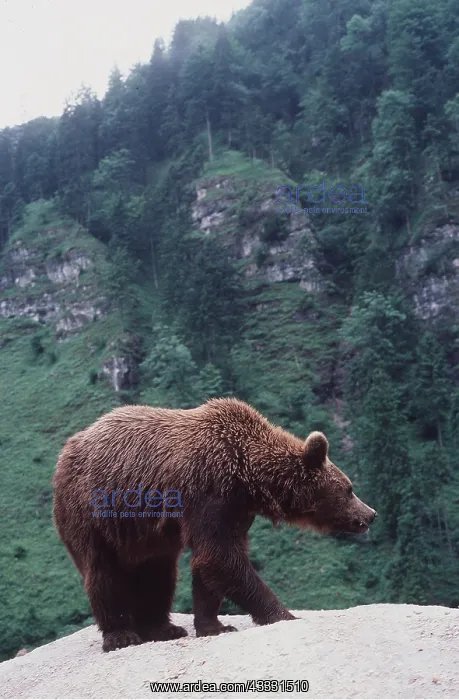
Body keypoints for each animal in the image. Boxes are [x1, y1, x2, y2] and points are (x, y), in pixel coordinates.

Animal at [53, 397, 377, 652]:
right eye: (349, 489)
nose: (371, 514)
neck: (248, 475)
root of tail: (67, 449)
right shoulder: (210, 492)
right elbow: (220, 558)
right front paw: (283, 613)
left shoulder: (235, 511)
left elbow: (211, 562)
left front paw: (213, 625)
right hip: (95, 512)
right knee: (104, 573)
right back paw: (121, 634)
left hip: (144, 536)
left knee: (159, 573)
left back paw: (163, 628)